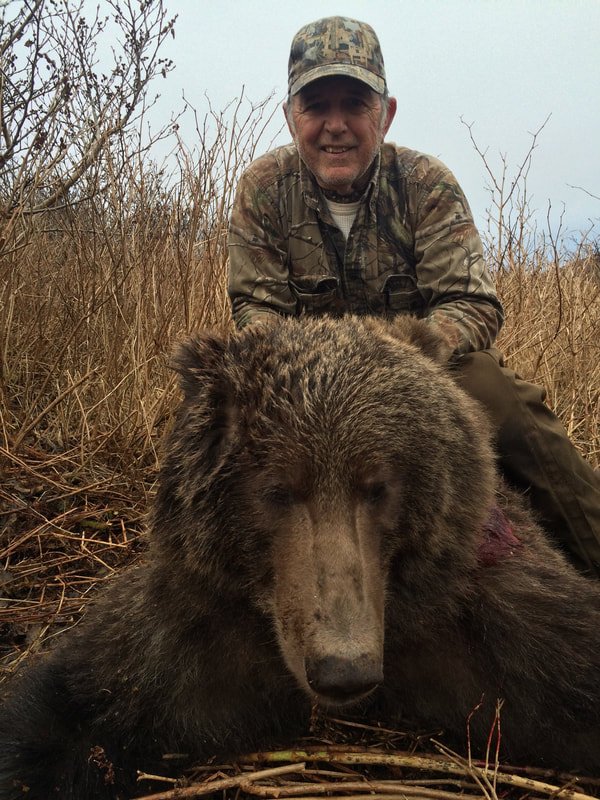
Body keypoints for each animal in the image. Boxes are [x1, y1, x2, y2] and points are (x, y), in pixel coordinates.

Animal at [2, 313, 600, 799]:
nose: (344, 670)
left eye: (378, 486)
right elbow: (61, 717)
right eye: (277, 488)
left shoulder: (495, 628)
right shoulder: (185, 645)